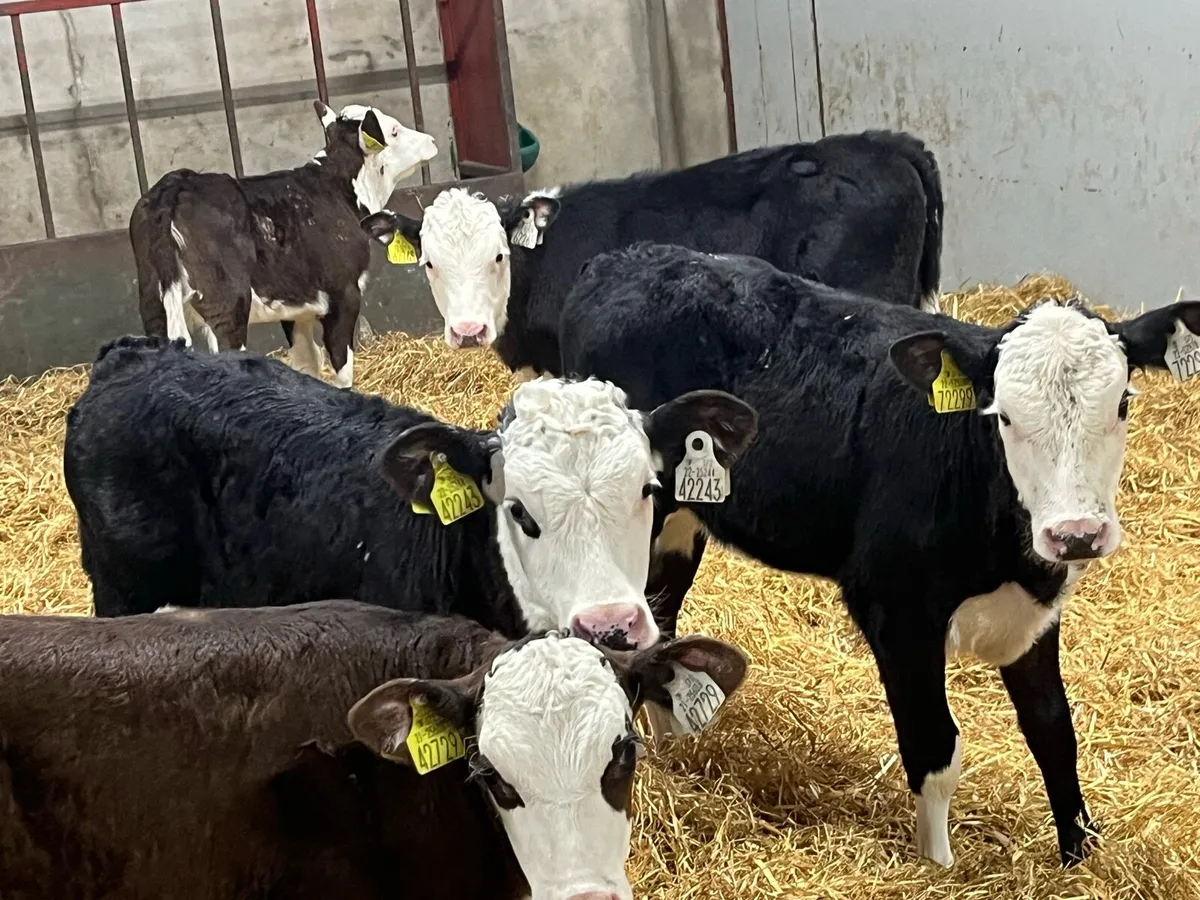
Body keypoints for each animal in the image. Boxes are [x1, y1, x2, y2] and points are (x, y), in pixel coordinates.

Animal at [130, 100, 437, 389]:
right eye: (394, 130)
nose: (431, 141)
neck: (338, 187)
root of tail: (179, 181)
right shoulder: (344, 293)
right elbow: (341, 366)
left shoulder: (296, 302)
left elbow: (306, 361)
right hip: (227, 307)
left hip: (153, 305)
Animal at [552, 241, 1200, 868]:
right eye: (1005, 416)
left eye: (1122, 404)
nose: (1077, 534)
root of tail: (624, 258)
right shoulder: (896, 609)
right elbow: (935, 751)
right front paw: (937, 868)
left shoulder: (1034, 613)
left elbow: (1054, 732)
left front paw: (1080, 856)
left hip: (682, 519)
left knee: (660, 616)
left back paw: (672, 752)